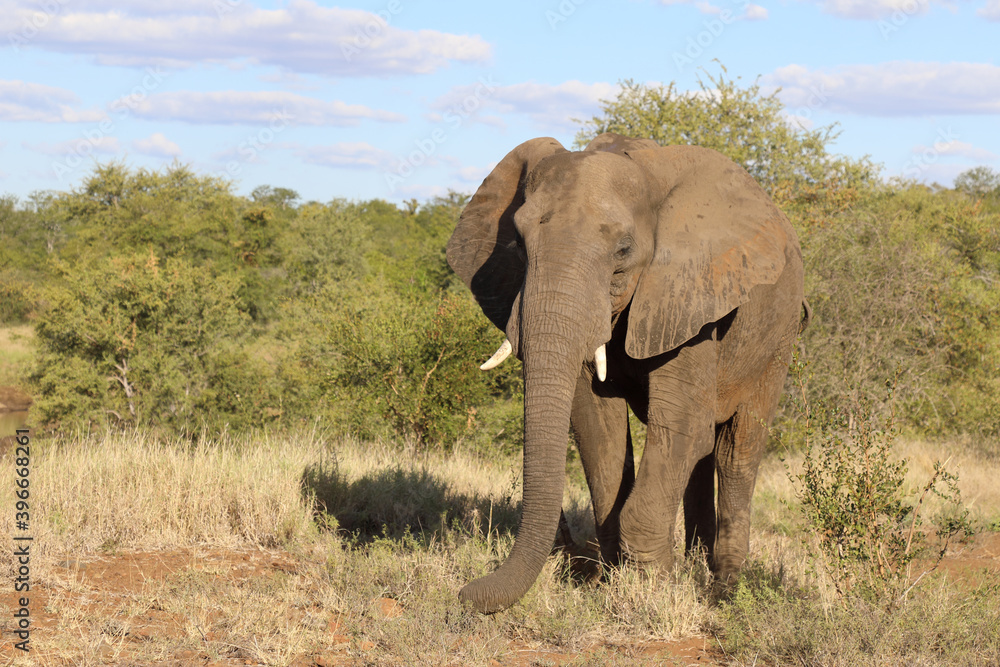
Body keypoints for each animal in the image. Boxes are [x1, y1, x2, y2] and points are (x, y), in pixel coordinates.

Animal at [450, 132, 808, 616]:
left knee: (736, 448)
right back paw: (695, 566)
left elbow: (682, 424)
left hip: (778, 338)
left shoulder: (688, 290)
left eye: (622, 250)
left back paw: (723, 589)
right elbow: (597, 427)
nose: (464, 593)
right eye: (520, 245)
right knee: (704, 453)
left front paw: (655, 586)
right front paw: (616, 580)